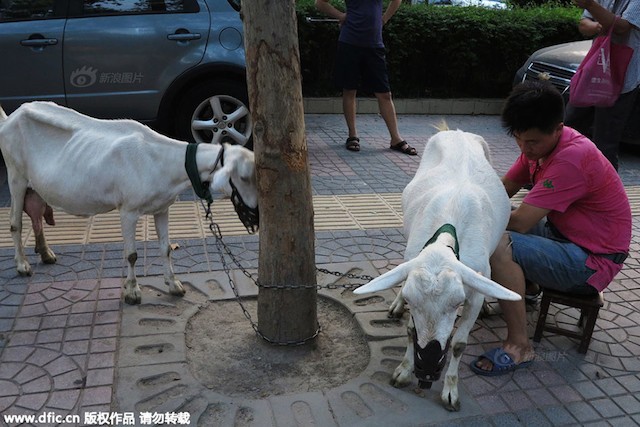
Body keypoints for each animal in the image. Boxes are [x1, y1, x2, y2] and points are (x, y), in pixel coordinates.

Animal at [3, 102, 258, 306]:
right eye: (244, 177)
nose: (256, 214)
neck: (160, 159)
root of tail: (11, 117)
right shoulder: (128, 211)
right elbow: (131, 254)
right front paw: (132, 292)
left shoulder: (162, 207)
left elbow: (166, 248)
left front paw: (174, 285)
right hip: (15, 176)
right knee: (15, 223)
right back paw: (23, 265)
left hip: (35, 185)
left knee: (36, 214)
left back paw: (46, 253)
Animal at [352, 127, 524, 412]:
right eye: (413, 300)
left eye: (457, 303)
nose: (429, 368)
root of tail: (458, 131)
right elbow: (411, 330)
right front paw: (404, 371)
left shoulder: (474, 290)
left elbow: (460, 343)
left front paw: (450, 392)